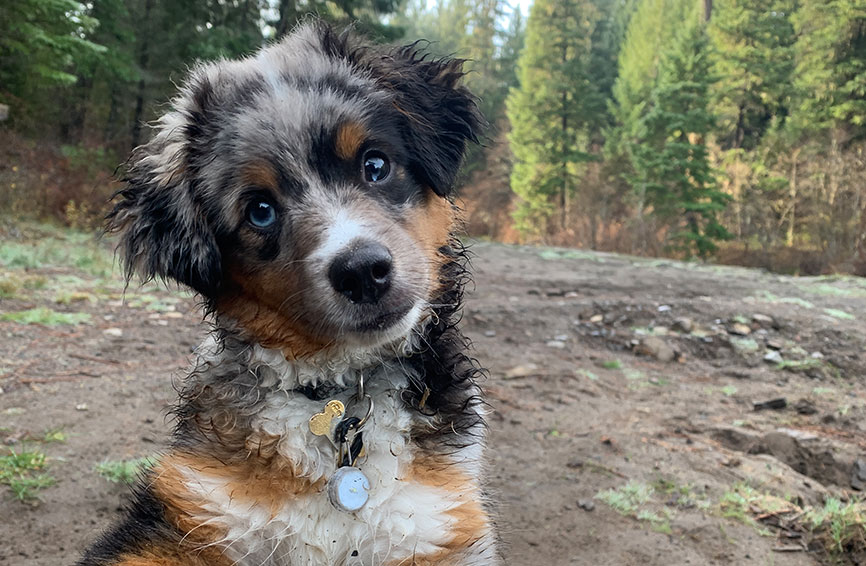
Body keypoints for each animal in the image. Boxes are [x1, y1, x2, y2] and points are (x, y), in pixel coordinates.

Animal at [81, 21, 500, 566]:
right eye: (260, 210)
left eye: (375, 164)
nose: (362, 271)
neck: (341, 392)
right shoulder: (184, 513)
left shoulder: (439, 523)